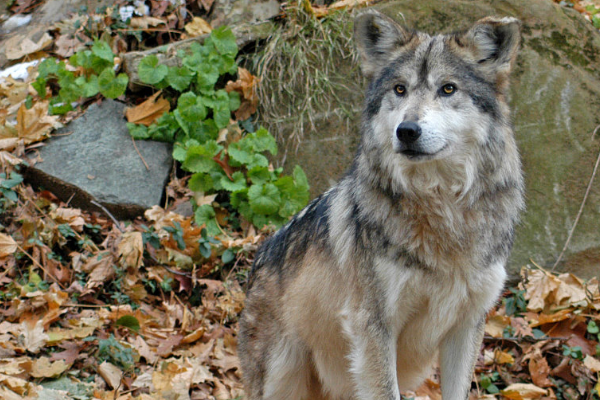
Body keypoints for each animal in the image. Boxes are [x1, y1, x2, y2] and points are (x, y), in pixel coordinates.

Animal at [237, 10, 524, 400]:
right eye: (399, 89)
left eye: (448, 88)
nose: (407, 130)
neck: (442, 207)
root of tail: (257, 260)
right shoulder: (374, 326)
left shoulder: (467, 326)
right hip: (282, 375)